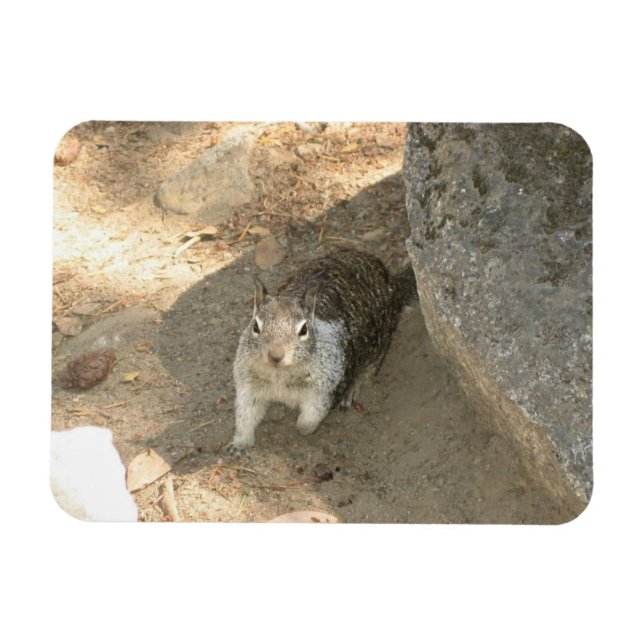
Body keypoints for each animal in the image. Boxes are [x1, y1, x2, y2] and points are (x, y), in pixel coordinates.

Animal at [226, 247, 417, 456]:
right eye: (255, 326)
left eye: (303, 330)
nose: (275, 356)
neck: (280, 374)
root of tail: (392, 284)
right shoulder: (248, 383)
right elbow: (245, 415)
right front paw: (240, 443)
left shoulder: (327, 387)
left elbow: (308, 420)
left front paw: (299, 428)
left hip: (379, 345)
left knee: (368, 371)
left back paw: (352, 390)